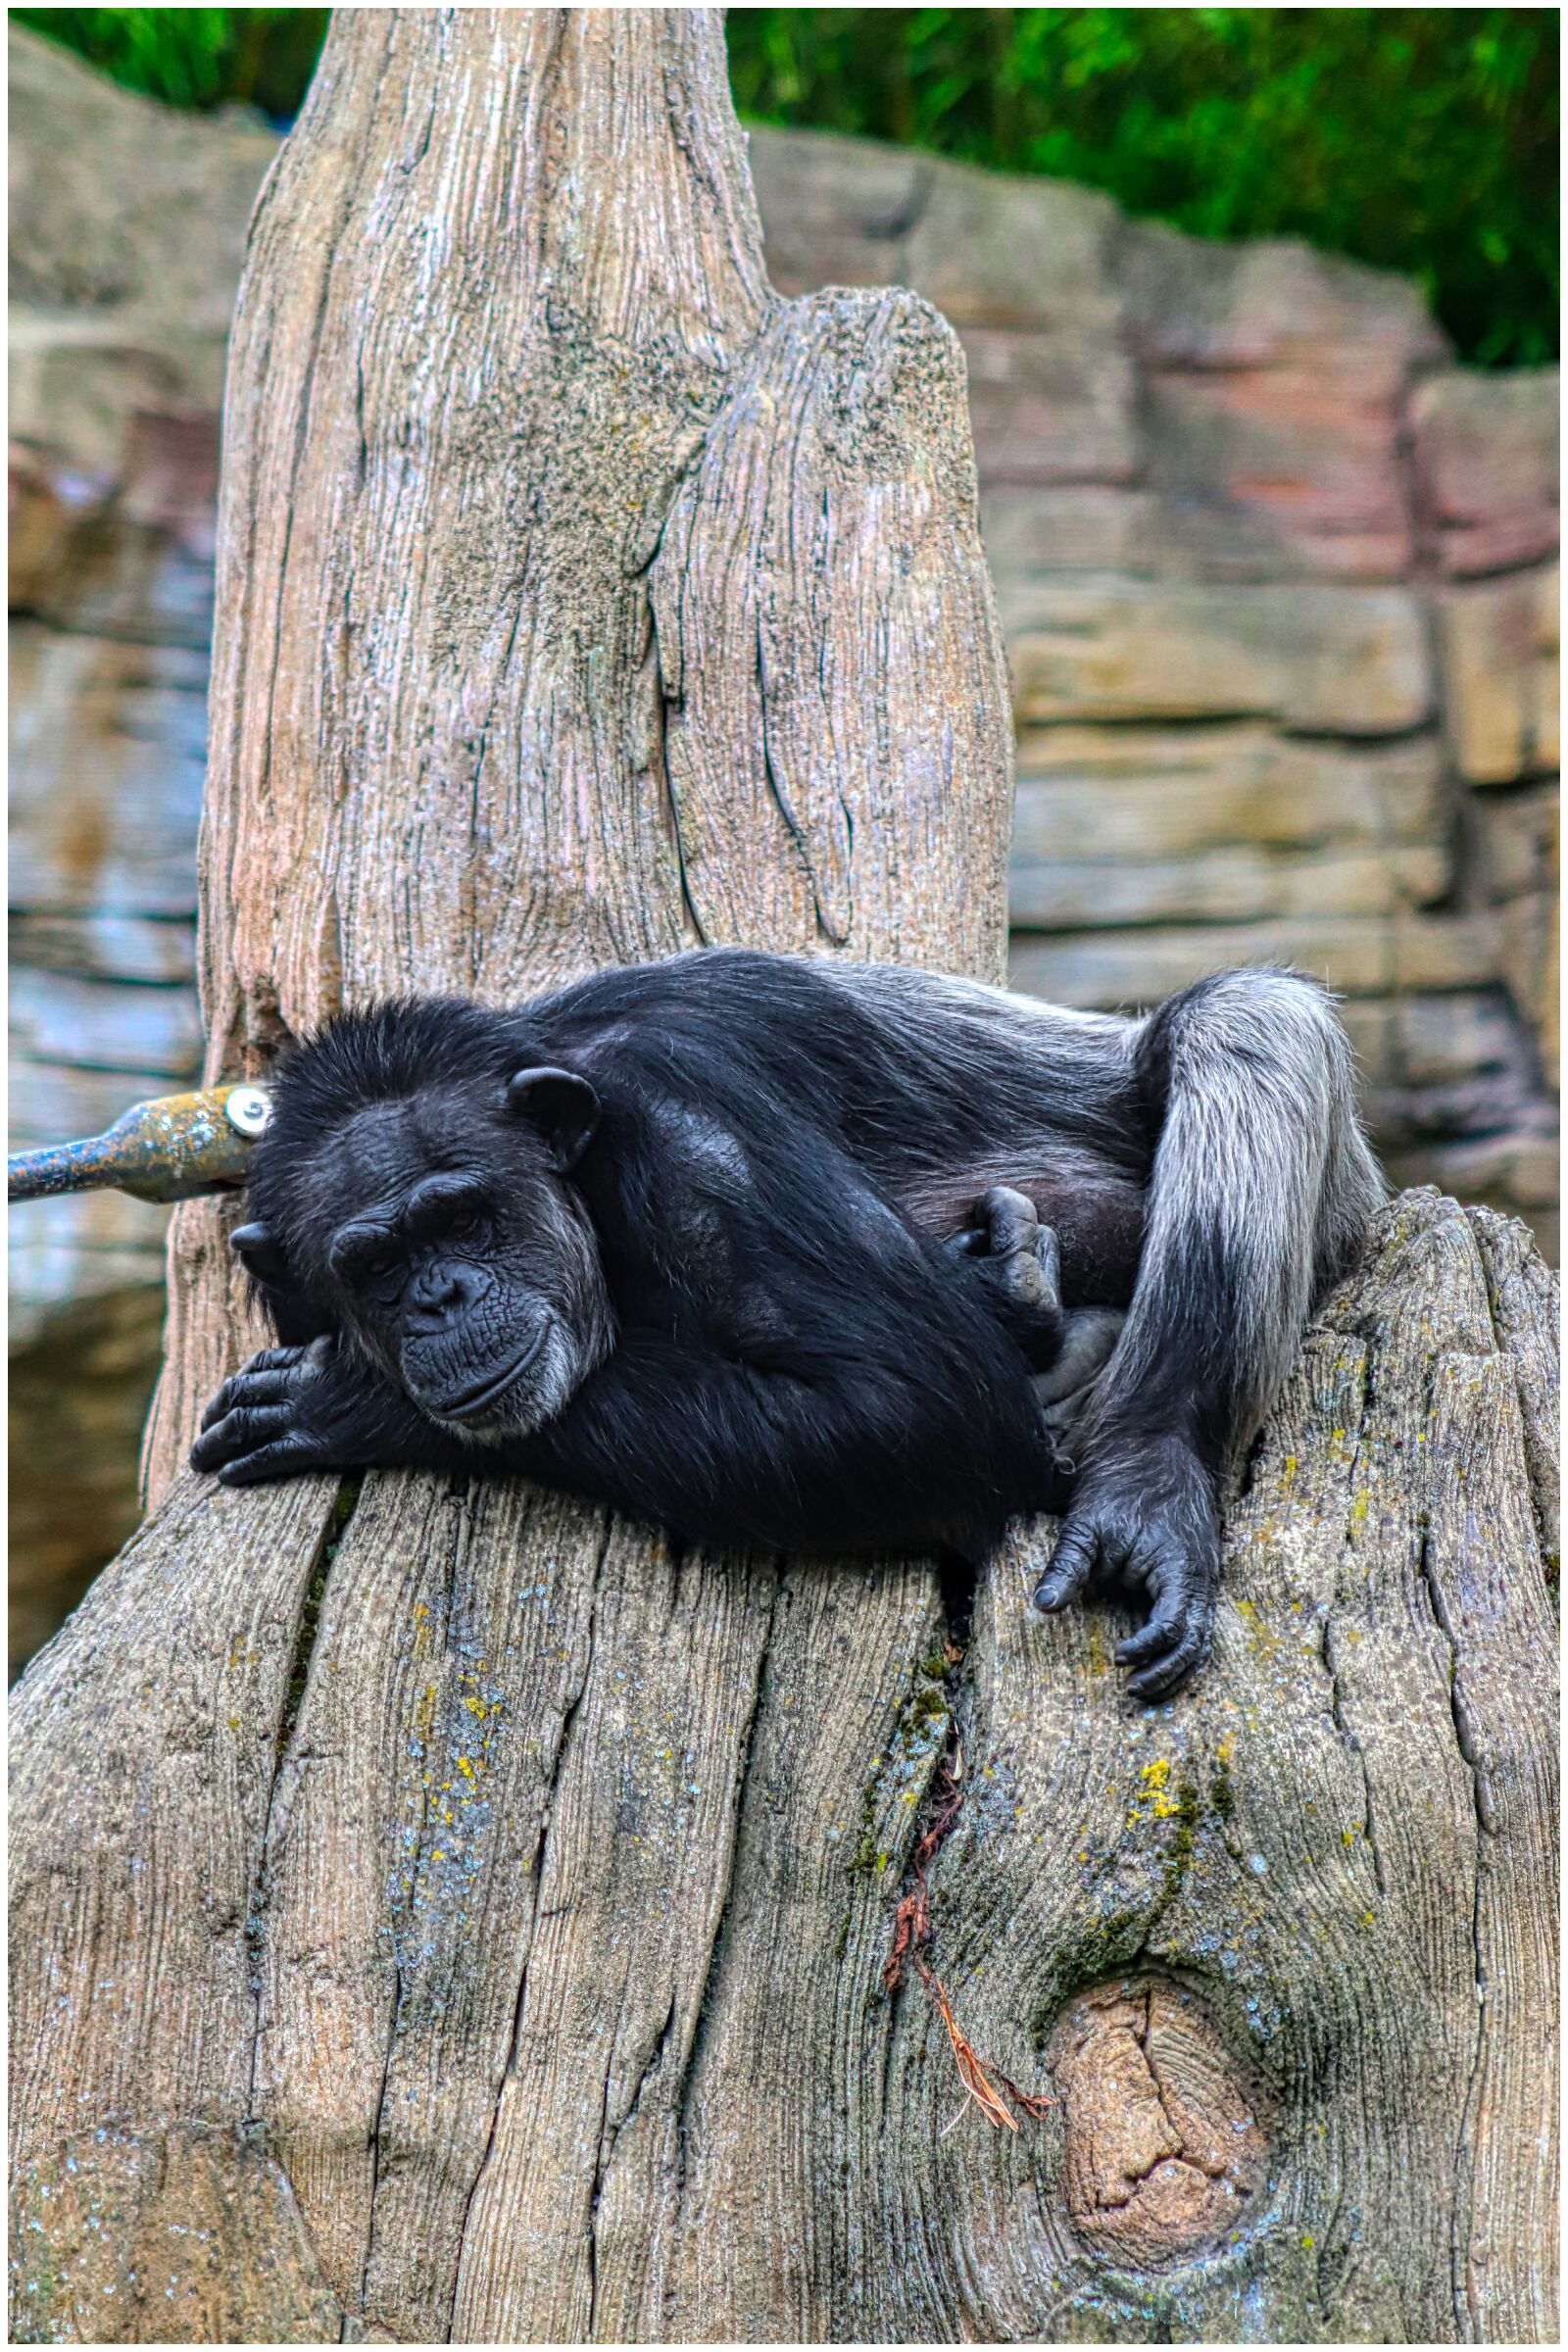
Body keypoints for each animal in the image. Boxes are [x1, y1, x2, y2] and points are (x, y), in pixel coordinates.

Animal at [191, 950, 1384, 1699]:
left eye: (464, 1216)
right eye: (378, 1265)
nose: (442, 1297)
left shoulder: (688, 1120)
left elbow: (914, 1406)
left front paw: (352, 1401)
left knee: (1245, 1022)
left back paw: (1145, 1477)